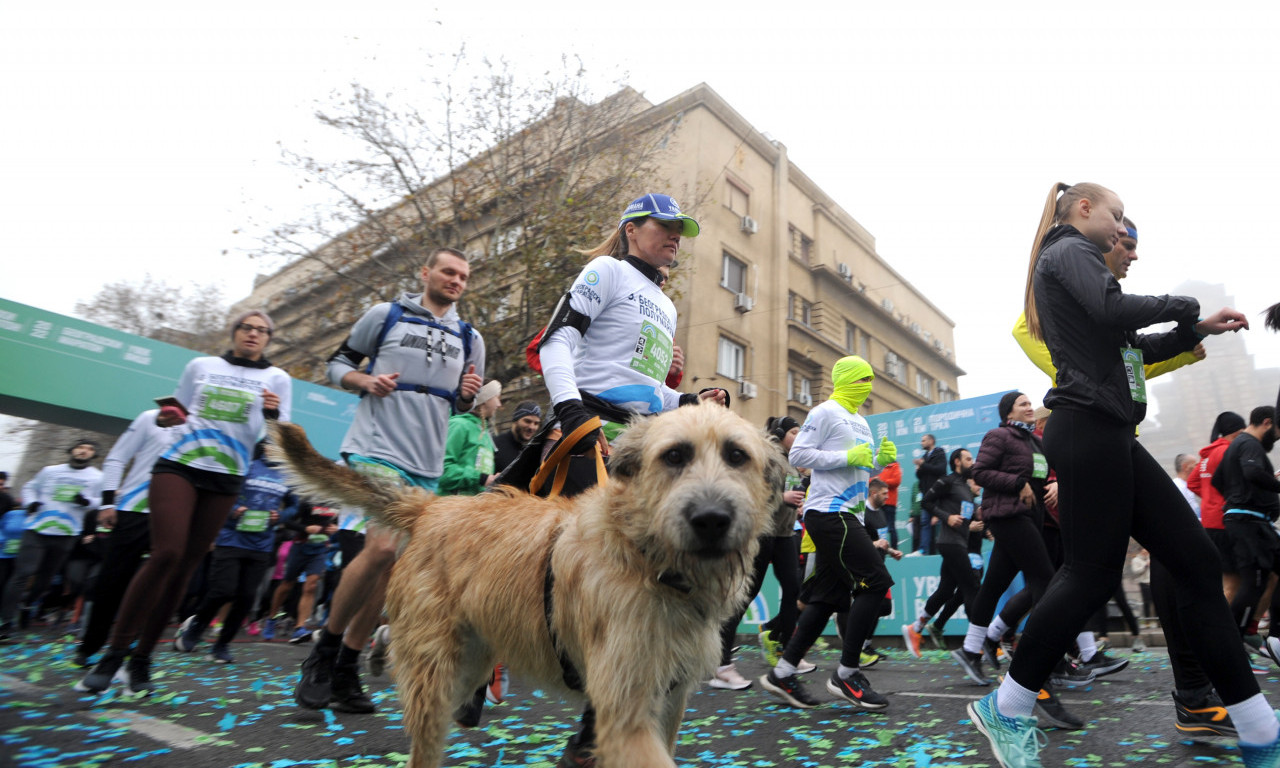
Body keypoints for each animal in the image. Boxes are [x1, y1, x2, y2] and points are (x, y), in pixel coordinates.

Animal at [272, 404, 778, 762]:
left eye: (736, 455)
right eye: (675, 455)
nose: (711, 519)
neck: (646, 555)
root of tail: (434, 507)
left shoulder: (668, 702)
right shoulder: (626, 710)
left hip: (472, 660)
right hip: (437, 682)